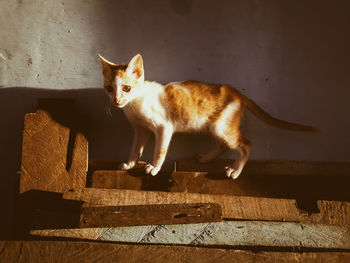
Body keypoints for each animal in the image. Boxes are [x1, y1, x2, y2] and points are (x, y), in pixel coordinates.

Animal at [98, 54, 318, 180]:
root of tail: (237, 92)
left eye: (127, 88)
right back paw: (206, 158)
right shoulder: (140, 129)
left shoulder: (164, 127)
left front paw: (154, 167)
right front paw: (130, 163)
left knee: (246, 144)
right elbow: (135, 148)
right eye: (109, 88)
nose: (116, 100)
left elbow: (160, 150)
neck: (135, 104)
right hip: (215, 126)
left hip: (220, 126)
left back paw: (235, 171)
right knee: (224, 145)